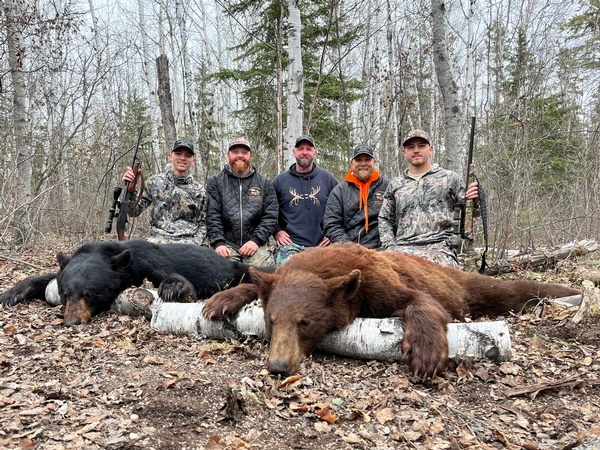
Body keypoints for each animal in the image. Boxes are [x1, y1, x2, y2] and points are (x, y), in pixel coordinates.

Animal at [0, 241, 272, 326]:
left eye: (89, 293)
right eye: (66, 294)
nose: (71, 321)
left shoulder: (147, 261)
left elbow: (172, 275)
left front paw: (174, 288)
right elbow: (43, 276)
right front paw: (10, 294)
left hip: (234, 271)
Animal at [203, 241, 580, 378]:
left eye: (304, 322)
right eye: (271, 321)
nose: (279, 366)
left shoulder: (377, 284)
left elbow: (420, 301)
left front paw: (425, 352)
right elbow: (255, 281)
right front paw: (219, 301)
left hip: (469, 287)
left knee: (510, 290)